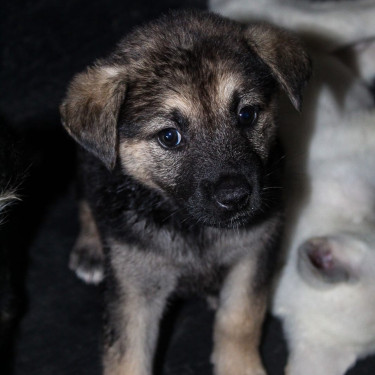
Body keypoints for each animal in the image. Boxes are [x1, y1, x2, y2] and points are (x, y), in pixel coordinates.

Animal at [61, 9, 312, 375]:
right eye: (170, 137)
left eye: (246, 114)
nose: (236, 197)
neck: (192, 228)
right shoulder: (135, 289)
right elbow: (128, 356)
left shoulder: (253, 254)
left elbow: (240, 320)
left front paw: (239, 366)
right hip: (86, 166)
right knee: (84, 201)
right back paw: (90, 248)